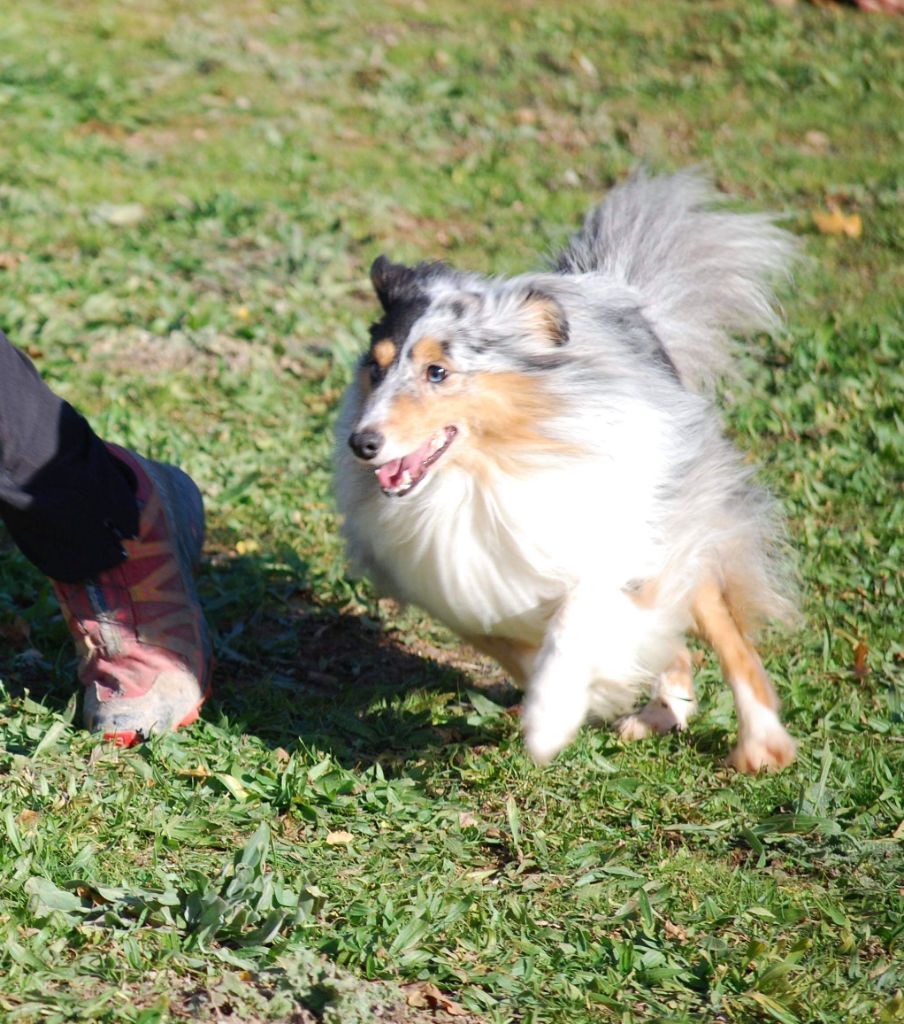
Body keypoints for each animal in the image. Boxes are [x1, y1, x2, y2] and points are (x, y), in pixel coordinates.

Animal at [337, 172, 798, 770]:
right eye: (375, 368)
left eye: (437, 371)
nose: (362, 443)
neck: (485, 475)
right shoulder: (460, 585)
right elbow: (512, 646)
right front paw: (588, 695)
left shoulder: (608, 540)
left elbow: (578, 621)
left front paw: (551, 719)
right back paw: (657, 711)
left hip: (682, 519)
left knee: (729, 641)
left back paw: (759, 746)